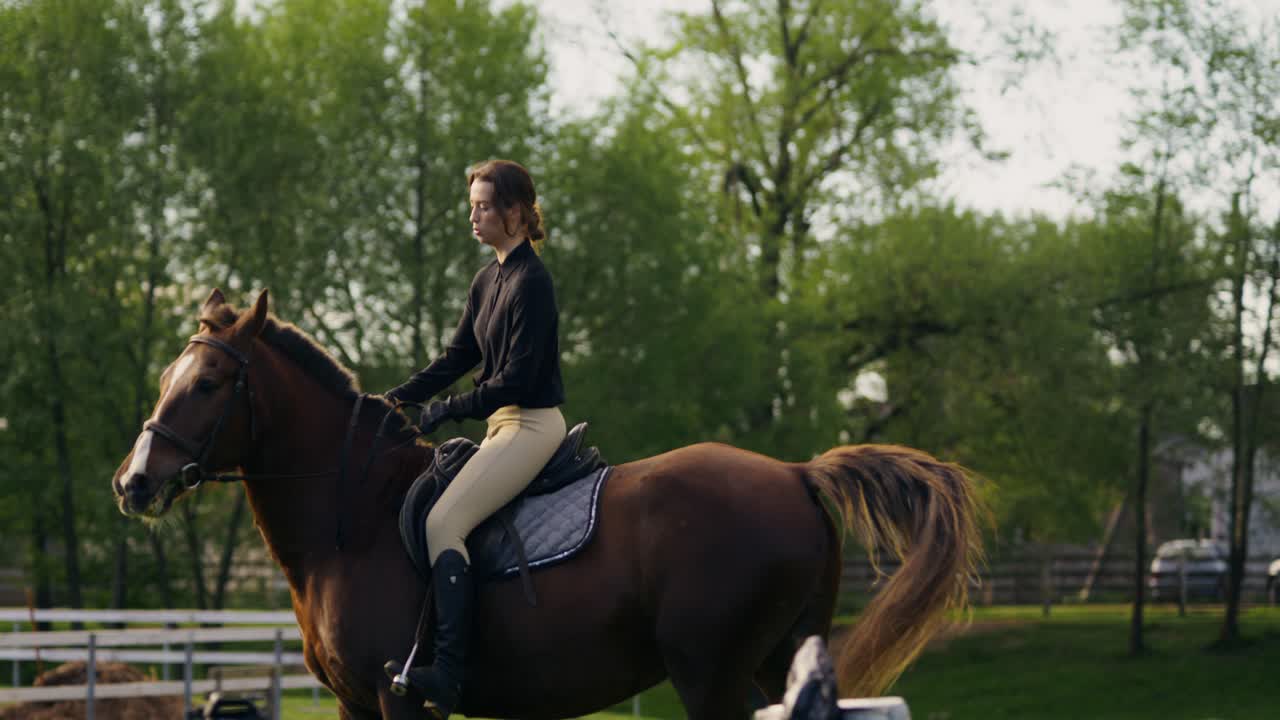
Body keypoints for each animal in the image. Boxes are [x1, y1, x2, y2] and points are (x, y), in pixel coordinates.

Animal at [111, 289, 984, 720]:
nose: (133, 483)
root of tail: (795, 473)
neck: (351, 522)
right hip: (780, 664)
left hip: (713, 675)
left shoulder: (401, 702)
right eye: (168, 377)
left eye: (209, 383)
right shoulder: (356, 706)